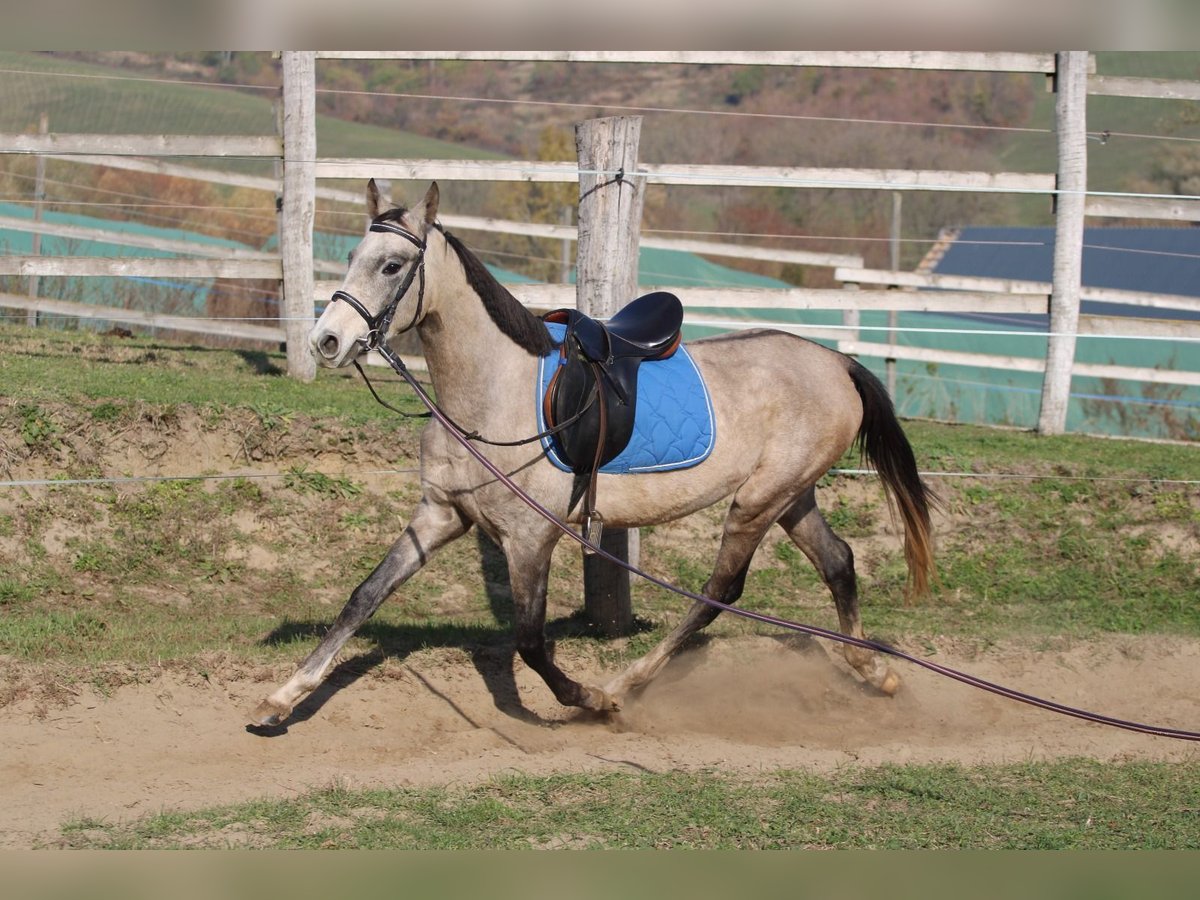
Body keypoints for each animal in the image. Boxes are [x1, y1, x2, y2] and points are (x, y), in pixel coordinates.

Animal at [246, 183, 936, 734]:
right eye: (352, 258)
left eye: (391, 265)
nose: (327, 340)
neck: (492, 395)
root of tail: (837, 362)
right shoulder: (442, 515)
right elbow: (364, 596)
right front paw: (282, 698)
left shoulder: (529, 538)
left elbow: (530, 643)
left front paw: (591, 701)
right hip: (791, 495)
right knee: (838, 561)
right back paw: (873, 671)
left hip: (757, 502)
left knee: (721, 591)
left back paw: (627, 684)